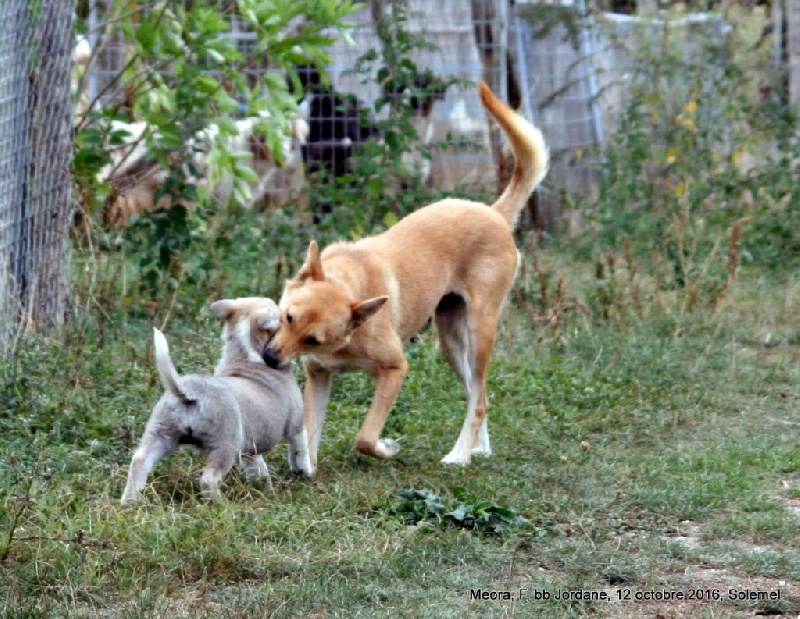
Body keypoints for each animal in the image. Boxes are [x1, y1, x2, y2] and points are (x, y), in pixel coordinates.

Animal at [122, 298, 312, 506]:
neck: (246, 354)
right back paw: (221, 505)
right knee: (208, 479)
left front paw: (263, 485)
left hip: (161, 434)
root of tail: (187, 391)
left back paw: (130, 501)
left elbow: (256, 465)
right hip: (224, 447)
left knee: (140, 461)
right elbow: (301, 450)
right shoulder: (296, 425)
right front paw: (305, 473)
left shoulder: (250, 445)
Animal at [262, 82, 552, 470]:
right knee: (479, 395)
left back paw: (459, 456)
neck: (350, 286)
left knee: (479, 399)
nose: (269, 358)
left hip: (479, 331)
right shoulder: (319, 376)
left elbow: (366, 437)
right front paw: (305, 466)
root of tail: (494, 213)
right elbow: (308, 434)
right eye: (288, 317)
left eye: (313, 338)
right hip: (452, 342)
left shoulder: (395, 370)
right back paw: (478, 448)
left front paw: (386, 447)